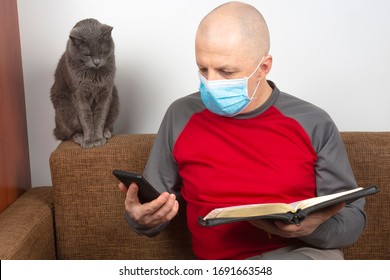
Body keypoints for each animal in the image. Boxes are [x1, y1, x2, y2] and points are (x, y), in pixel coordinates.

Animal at [51, 18, 119, 148]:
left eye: (102, 52)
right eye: (87, 54)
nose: (97, 62)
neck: (94, 77)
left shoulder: (106, 93)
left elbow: (100, 117)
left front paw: (98, 138)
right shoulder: (79, 94)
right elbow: (86, 118)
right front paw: (88, 141)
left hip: (115, 101)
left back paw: (106, 133)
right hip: (65, 107)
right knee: (69, 133)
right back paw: (79, 137)